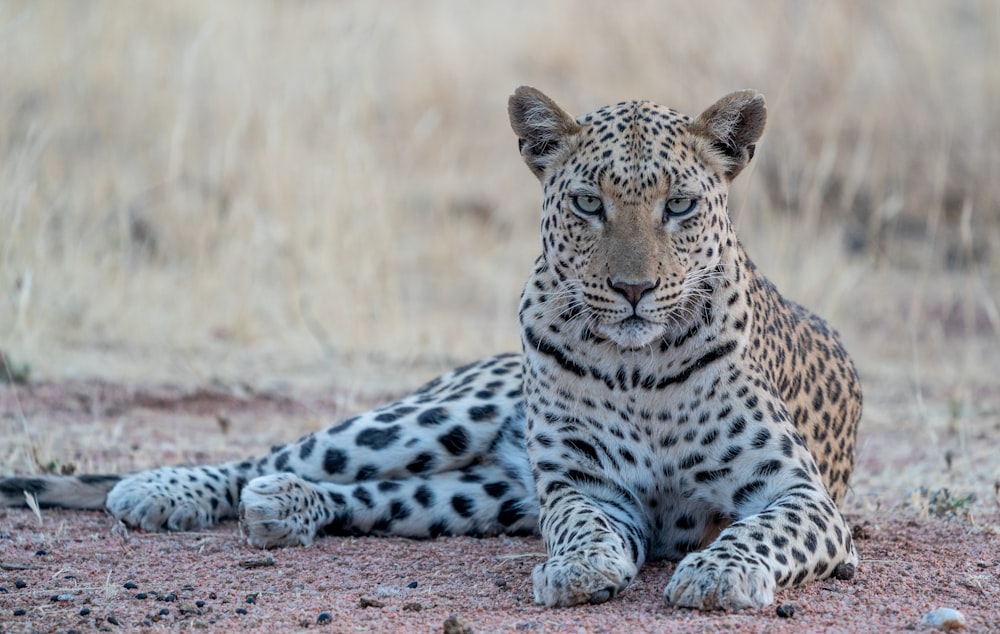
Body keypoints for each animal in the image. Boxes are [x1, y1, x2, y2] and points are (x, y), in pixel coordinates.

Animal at [0, 86, 860, 608]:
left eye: (680, 206)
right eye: (589, 204)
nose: (634, 290)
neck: (637, 366)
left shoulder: (804, 496)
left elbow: (757, 529)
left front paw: (716, 575)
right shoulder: (583, 487)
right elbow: (583, 526)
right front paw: (580, 568)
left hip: (488, 494)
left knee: (371, 494)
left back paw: (283, 508)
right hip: (443, 418)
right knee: (277, 455)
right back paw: (164, 490)